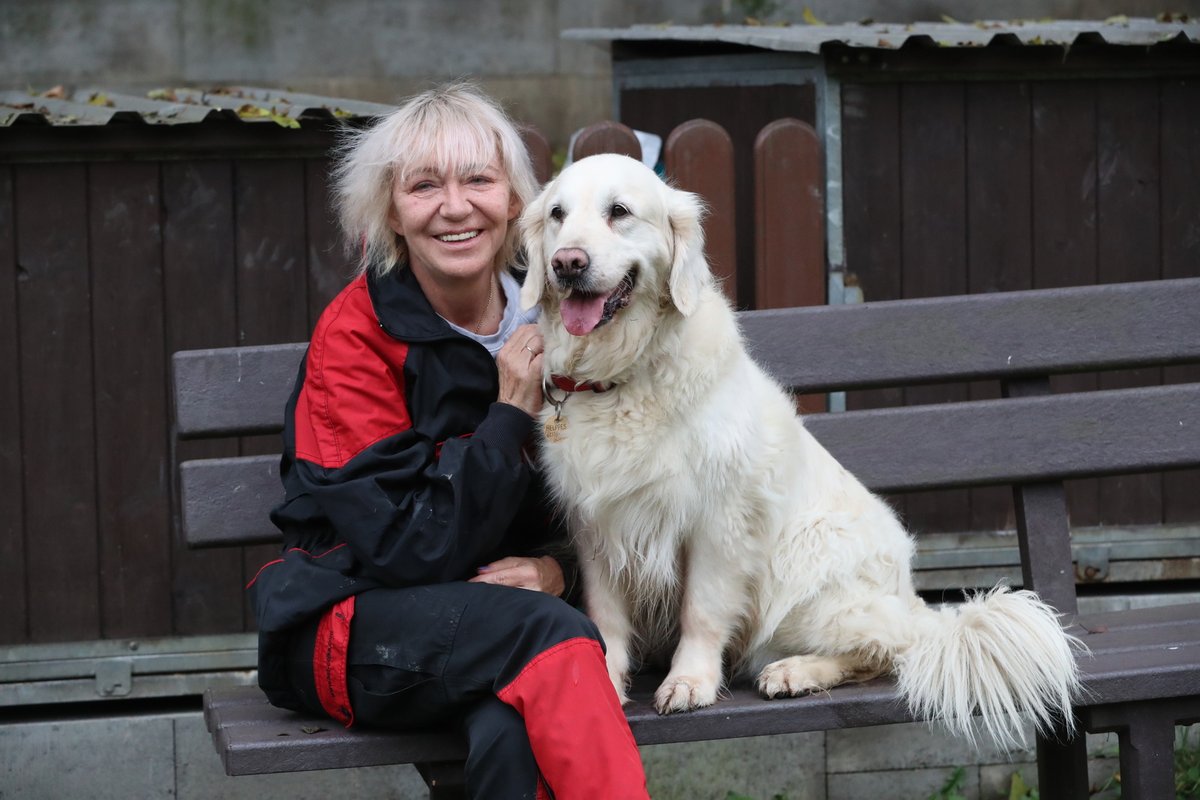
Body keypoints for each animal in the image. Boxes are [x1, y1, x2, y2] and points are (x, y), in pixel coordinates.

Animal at [520, 153, 1084, 748]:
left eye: (620, 211)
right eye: (557, 215)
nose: (567, 263)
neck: (621, 378)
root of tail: (914, 601)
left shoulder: (719, 521)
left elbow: (702, 609)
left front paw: (690, 681)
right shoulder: (597, 524)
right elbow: (605, 617)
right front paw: (603, 681)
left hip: (803, 574)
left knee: (886, 646)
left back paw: (795, 672)